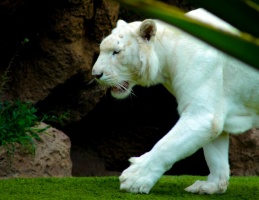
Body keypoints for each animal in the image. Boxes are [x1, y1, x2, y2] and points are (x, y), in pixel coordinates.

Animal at [91, 8, 259, 195]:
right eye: (102, 49)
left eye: (116, 51)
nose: (95, 74)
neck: (167, 57)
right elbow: (215, 154)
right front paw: (210, 186)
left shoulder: (201, 112)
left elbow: (167, 145)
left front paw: (134, 178)